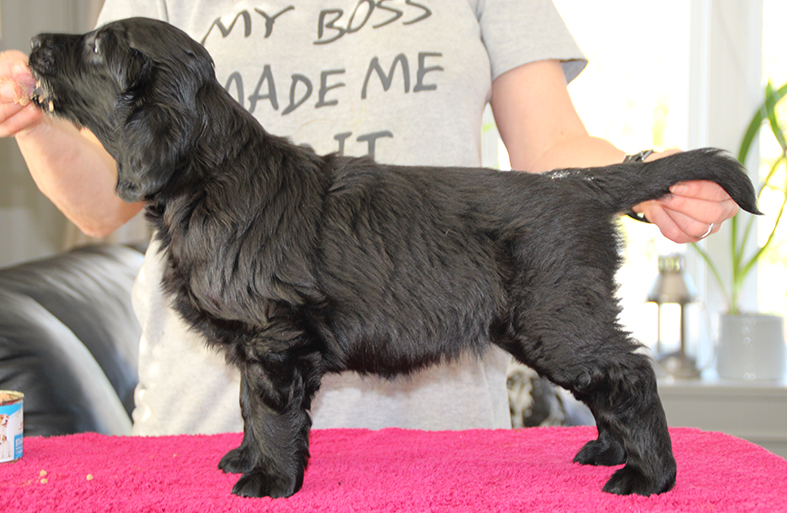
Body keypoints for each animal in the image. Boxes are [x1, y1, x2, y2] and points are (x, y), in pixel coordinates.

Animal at [28, 17, 760, 499]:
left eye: (95, 46)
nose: (32, 46)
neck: (213, 172)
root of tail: (578, 183)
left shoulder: (275, 336)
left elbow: (270, 410)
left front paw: (270, 479)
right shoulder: (255, 345)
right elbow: (246, 404)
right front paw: (244, 459)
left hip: (554, 319)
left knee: (629, 374)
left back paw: (648, 474)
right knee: (609, 382)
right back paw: (607, 448)